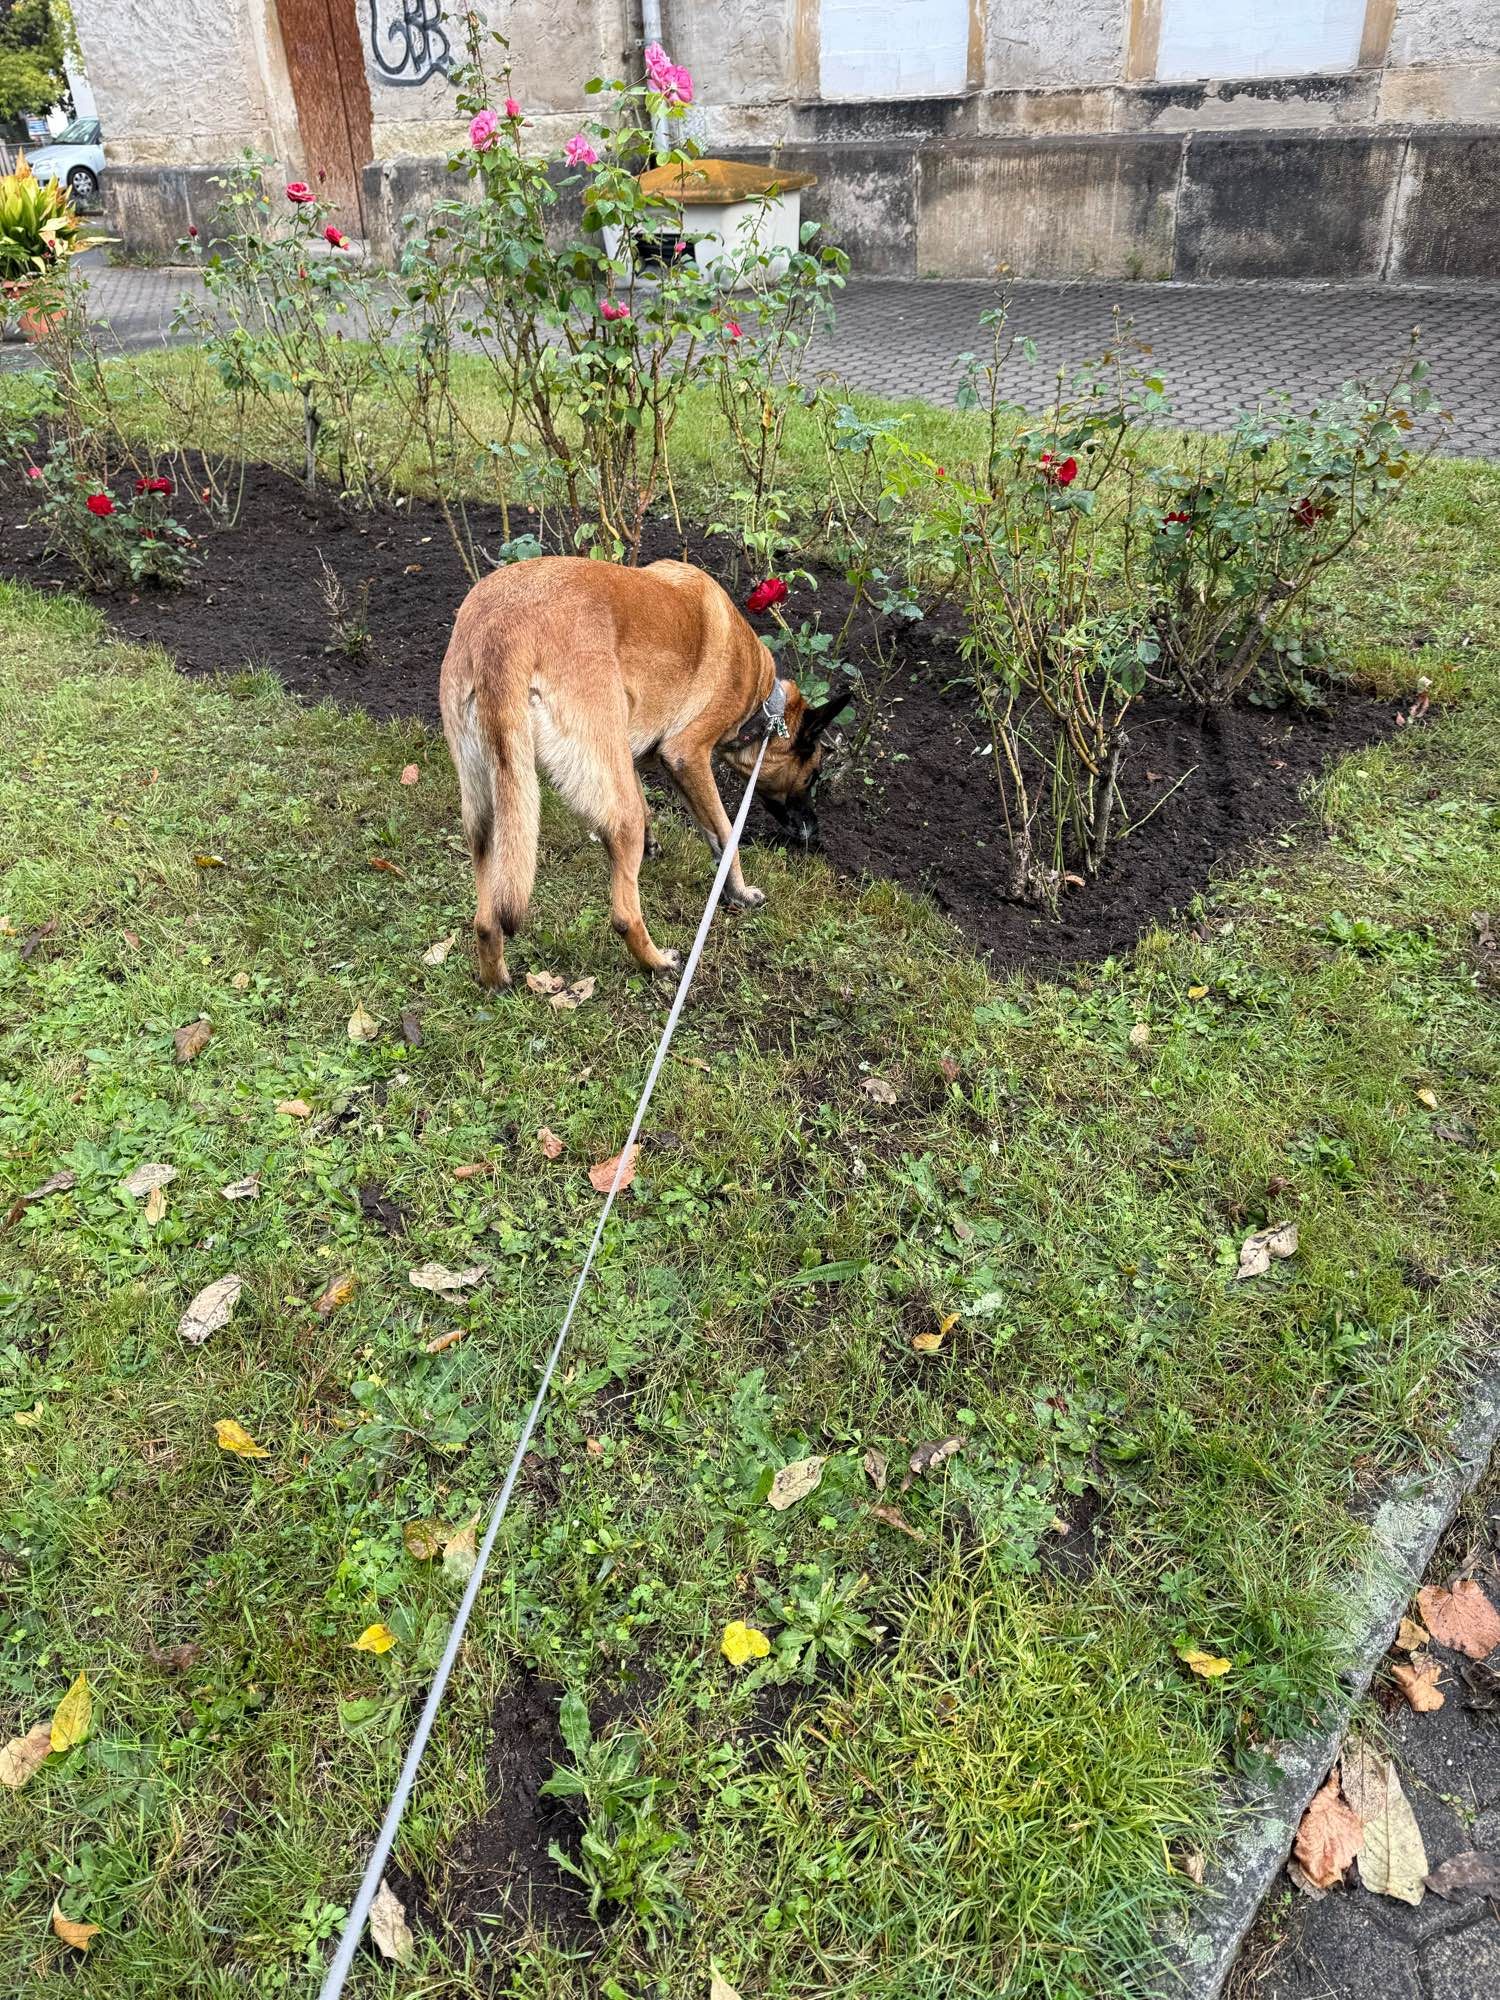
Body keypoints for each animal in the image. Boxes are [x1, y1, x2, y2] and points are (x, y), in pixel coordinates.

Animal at [440, 556, 852, 984]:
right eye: (813, 776)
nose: (814, 834)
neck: (761, 701)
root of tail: (503, 631)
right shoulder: (687, 756)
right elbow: (726, 833)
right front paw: (738, 891)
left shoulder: (635, 756)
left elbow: (666, 811)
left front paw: (656, 846)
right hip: (613, 807)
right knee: (622, 913)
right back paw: (658, 962)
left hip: (488, 812)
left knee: (485, 920)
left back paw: (496, 980)